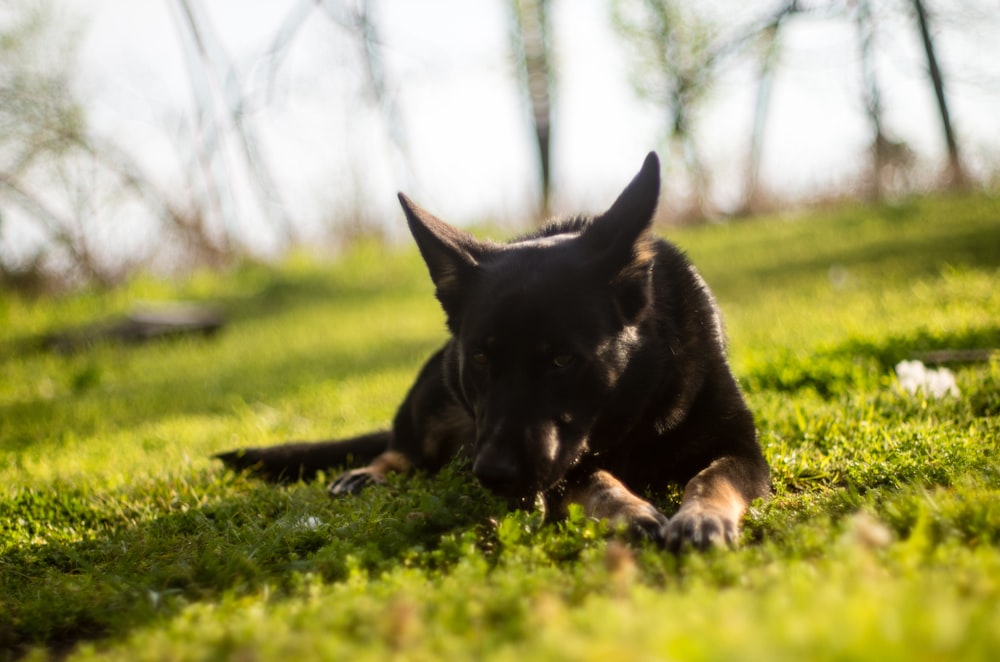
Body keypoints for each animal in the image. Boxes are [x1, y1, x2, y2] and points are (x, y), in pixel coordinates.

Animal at [217, 154, 764, 548]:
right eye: (481, 359)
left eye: (563, 360)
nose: (493, 474)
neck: (633, 409)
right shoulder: (563, 464)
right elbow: (598, 481)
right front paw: (630, 512)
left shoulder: (742, 447)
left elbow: (713, 478)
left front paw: (700, 519)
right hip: (431, 393)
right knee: (400, 448)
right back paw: (368, 473)